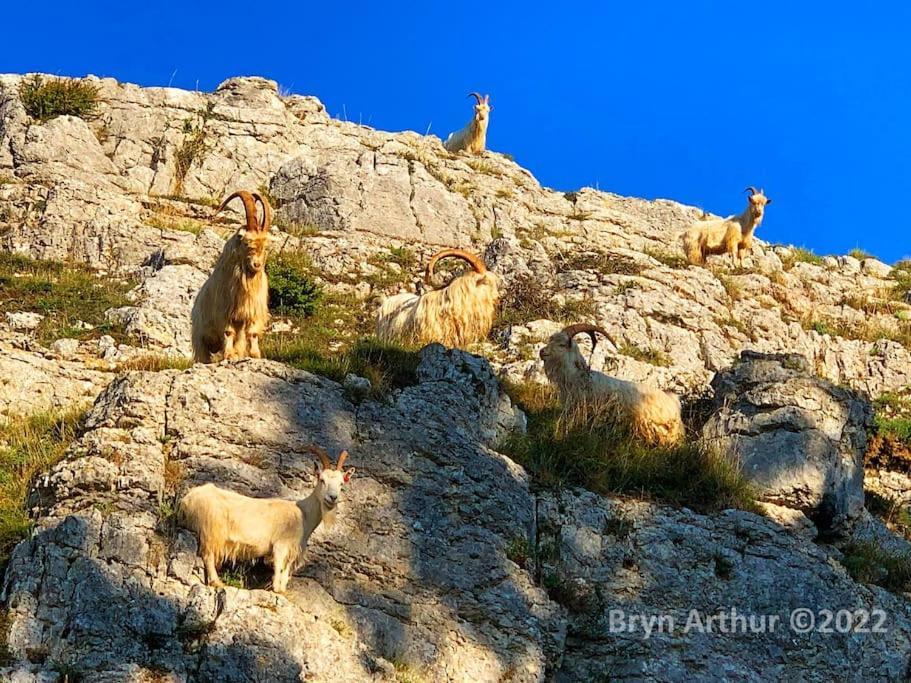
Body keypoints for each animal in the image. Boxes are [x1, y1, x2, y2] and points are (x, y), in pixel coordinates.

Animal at [176, 446, 354, 596]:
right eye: (322, 480)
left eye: (341, 483)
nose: (332, 497)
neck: (303, 514)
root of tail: (186, 500)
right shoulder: (281, 545)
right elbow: (279, 567)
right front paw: (277, 590)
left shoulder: (293, 550)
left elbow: (285, 571)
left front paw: (282, 590)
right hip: (211, 529)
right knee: (208, 555)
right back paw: (217, 582)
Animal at [193, 190, 272, 366]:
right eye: (247, 242)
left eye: (266, 247)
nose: (257, 265)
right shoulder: (225, 312)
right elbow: (228, 332)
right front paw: (228, 355)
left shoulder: (252, 311)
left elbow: (253, 333)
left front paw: (255, 355)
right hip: (200, 338)